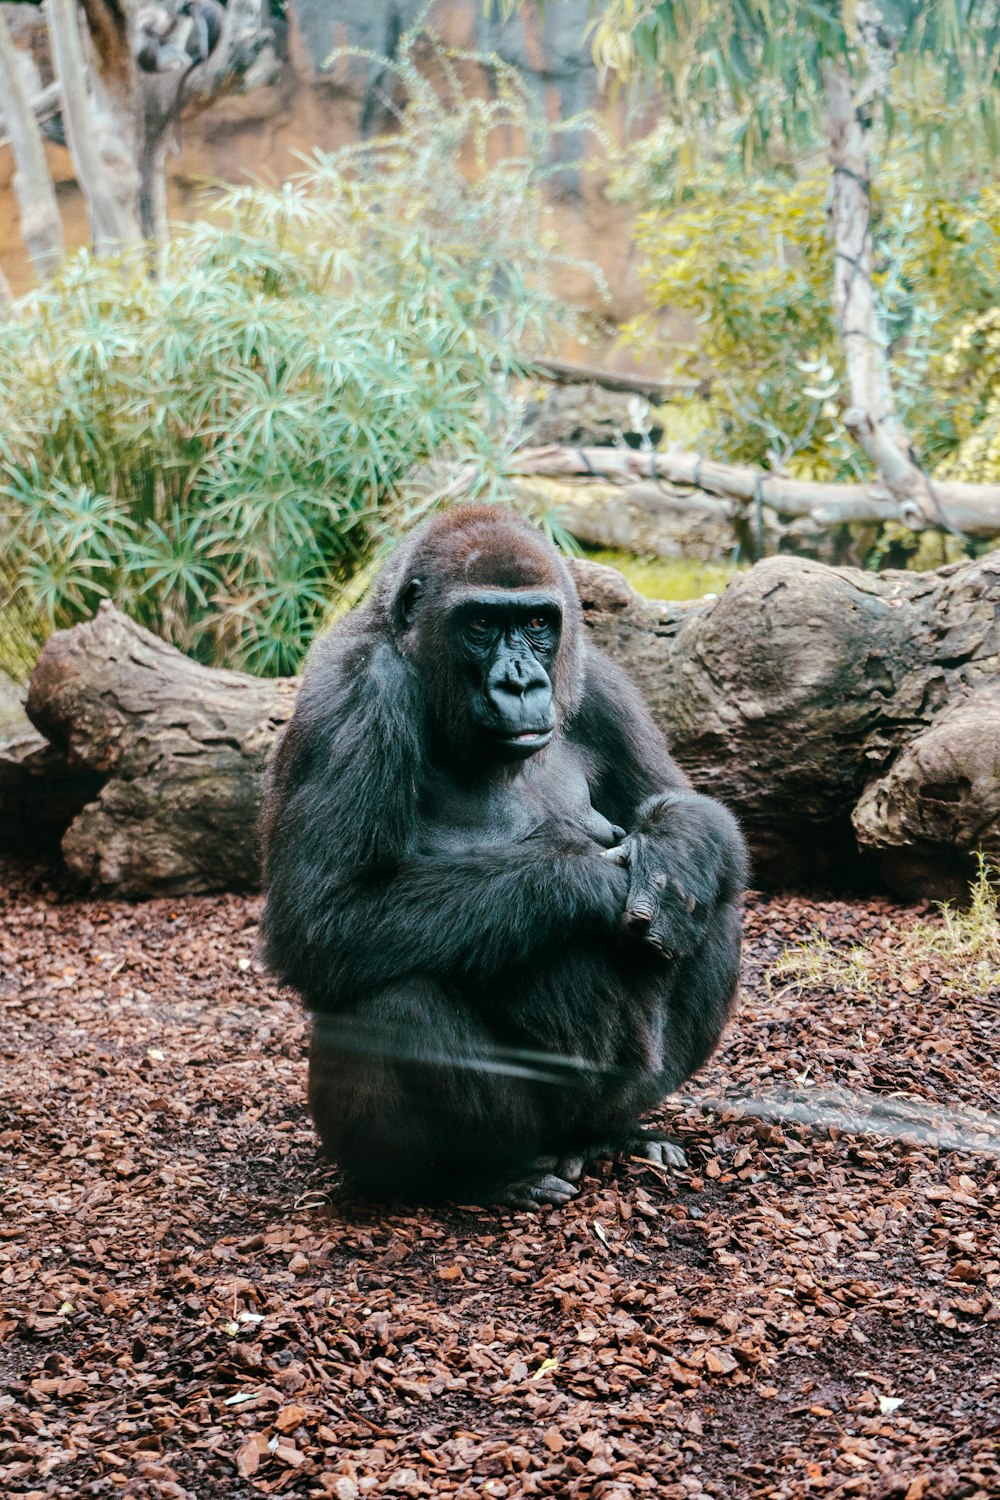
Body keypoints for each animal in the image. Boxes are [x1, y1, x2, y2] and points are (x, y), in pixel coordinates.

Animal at [262, 504, 746, 1206]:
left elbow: (690, 811)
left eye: (539, 624)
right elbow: (325, 917)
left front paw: (673, 860)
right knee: (390, 998)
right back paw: (480, 1173)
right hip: (515, 1130)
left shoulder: (599, 680)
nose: (520, 682)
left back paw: (620, 1129)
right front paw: (584, 879)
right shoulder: (353, 695)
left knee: (721, 900)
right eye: (483, 624)